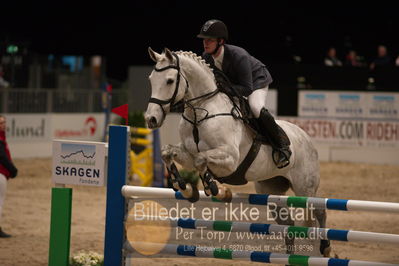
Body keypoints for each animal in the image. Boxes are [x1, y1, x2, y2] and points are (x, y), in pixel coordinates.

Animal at [145, 47, 330, 256]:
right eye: (151, 79)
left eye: (169, 80)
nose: (151, 119)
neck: (201, 112)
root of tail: (306, 137)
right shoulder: (187, 154)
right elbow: (167, 152)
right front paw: (183, 186)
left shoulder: (230, 159)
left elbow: (201, 160)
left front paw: (214, 188)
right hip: (271, 190)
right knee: (287, 223)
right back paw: (289, 256)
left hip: (305, 187)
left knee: (319, 210)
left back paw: (325, 248)